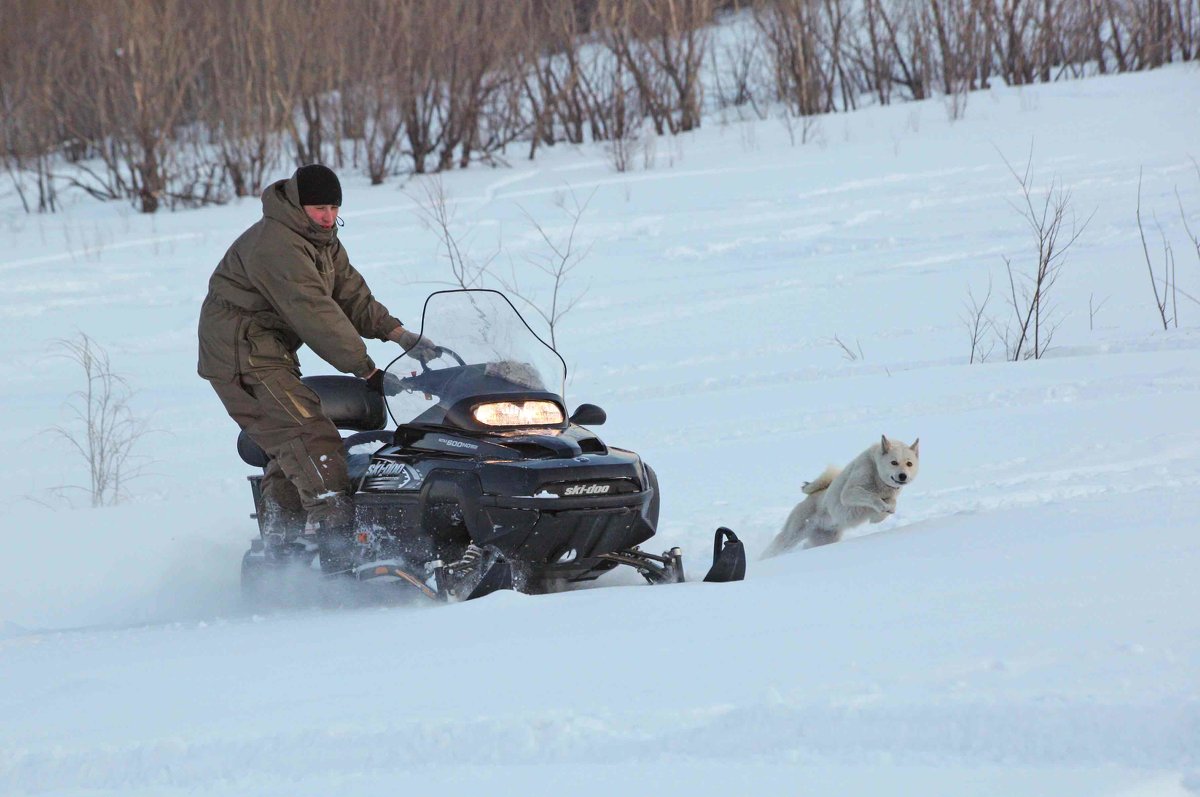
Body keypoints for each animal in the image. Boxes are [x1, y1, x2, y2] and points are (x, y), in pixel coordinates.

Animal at [763, 432, 921, 556]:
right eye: (894, 462)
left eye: (909, 463)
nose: (903, 476)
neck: (877, 475)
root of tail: (809, 497)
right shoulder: (849, 493)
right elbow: (872, 496)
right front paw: (881, 508)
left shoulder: (890, 496)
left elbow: (892, 504)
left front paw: (881, 515)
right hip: (792, 535)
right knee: (773, 548)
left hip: (824, 540)